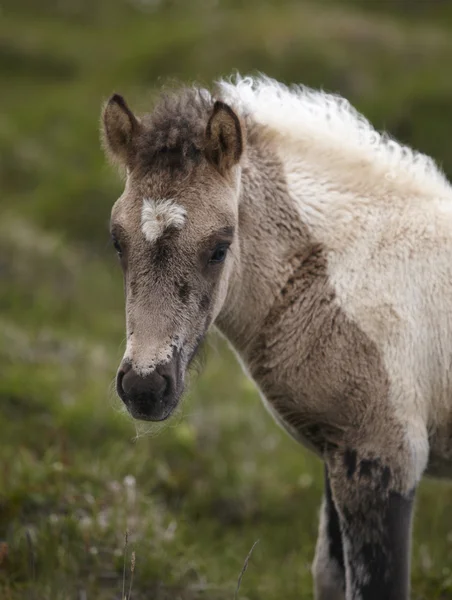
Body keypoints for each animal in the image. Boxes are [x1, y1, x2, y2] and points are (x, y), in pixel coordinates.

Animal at [100, 76, 452, 600]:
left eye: (220, 247)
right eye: (117, 240)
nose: (145, 386)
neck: (333, 279)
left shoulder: (385, 456)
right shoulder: (339, 452)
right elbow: (328, 575)